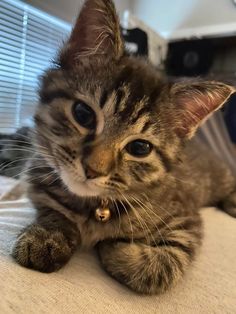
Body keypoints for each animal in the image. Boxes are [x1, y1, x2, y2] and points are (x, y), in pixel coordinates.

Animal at [12, 0, 236, 294]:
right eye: (83, 114)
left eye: (140, 148)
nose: (93, 170)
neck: (95, 206)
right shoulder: (37, 176)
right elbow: (52, 207)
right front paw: (48, 235)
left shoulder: (187, 220)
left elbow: (161, 266)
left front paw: (113, 247)